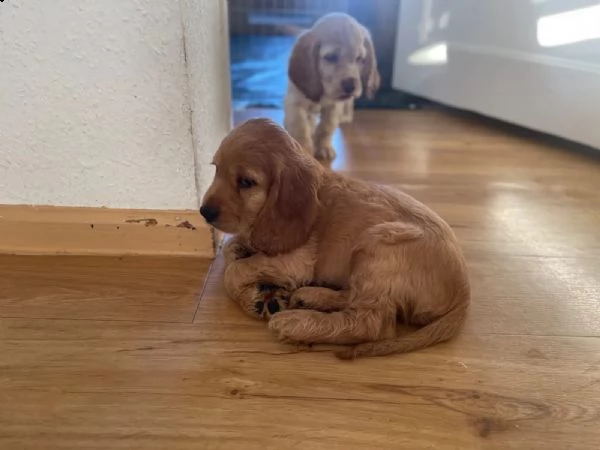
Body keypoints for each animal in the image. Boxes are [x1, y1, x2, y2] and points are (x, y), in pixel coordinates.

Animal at [199, 119, 472, 358]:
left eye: (246, 182)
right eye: (215, 169)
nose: (204, 212)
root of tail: (463, 292)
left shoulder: (296, 261)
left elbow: (234, 272)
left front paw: (253, 299)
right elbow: (231, 249)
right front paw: (259, 287)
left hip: (377, 245)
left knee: (372, 324)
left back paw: (297, 323)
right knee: (354, 298)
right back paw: (311, 297)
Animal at [284, 13, 380, 161]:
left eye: (359, 58)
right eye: (331, 57)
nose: (351, 86)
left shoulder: (334, 107)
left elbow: (326, 127)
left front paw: (323, 147)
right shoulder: (295, 105)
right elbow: (301, 128)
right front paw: (304, 151)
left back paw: (345, 117)